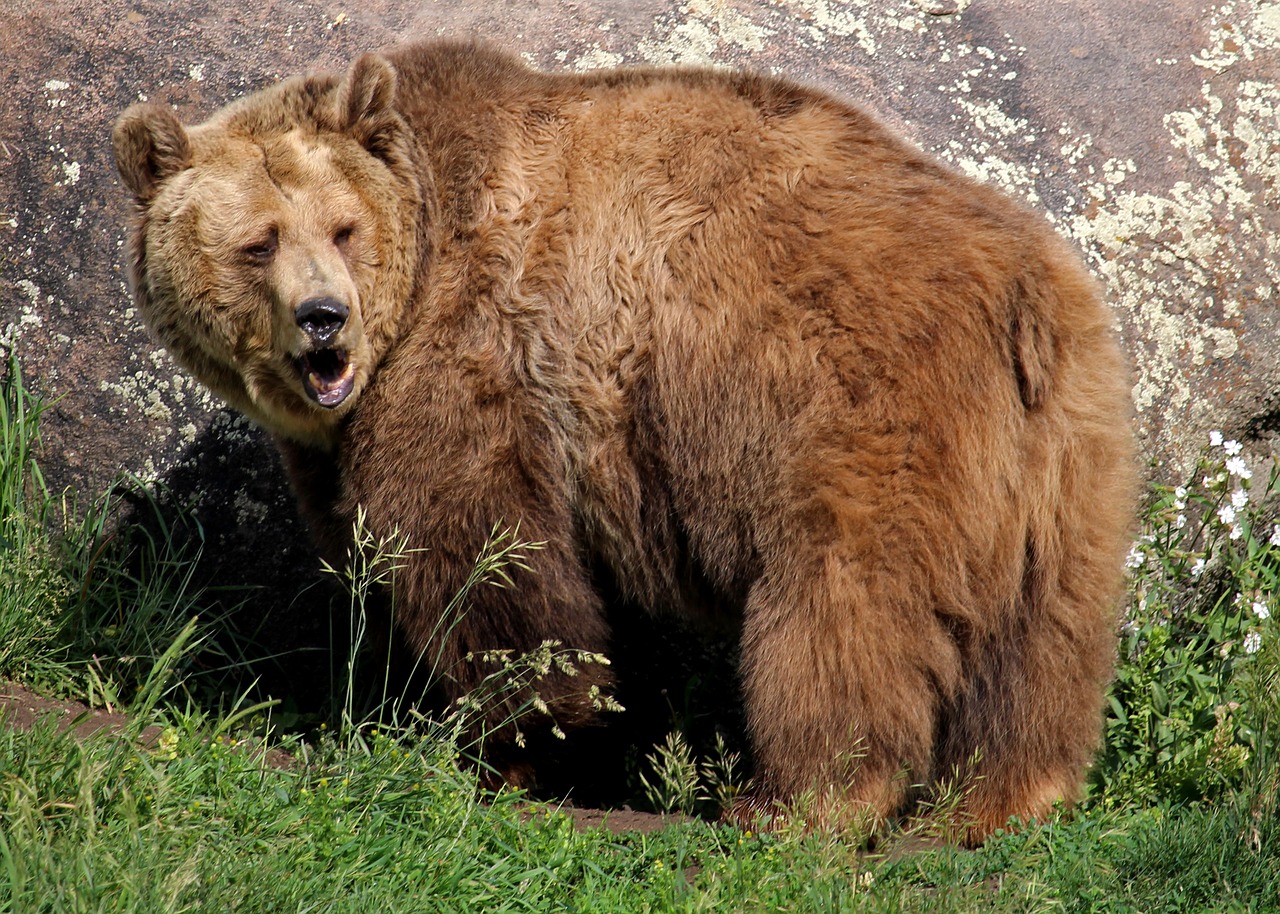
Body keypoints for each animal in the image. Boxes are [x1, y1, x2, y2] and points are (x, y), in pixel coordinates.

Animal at [110, 39, 1131, 834]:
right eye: (258, 242)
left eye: (342, 228)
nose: (324, 320)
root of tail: (1021, 289)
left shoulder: (480, 355)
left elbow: (482, 558)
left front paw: (516, 745)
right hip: (1070, 445)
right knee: (1045, 632)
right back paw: (1006, 797)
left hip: (848, 408)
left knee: (840, 601)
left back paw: (801, 801)